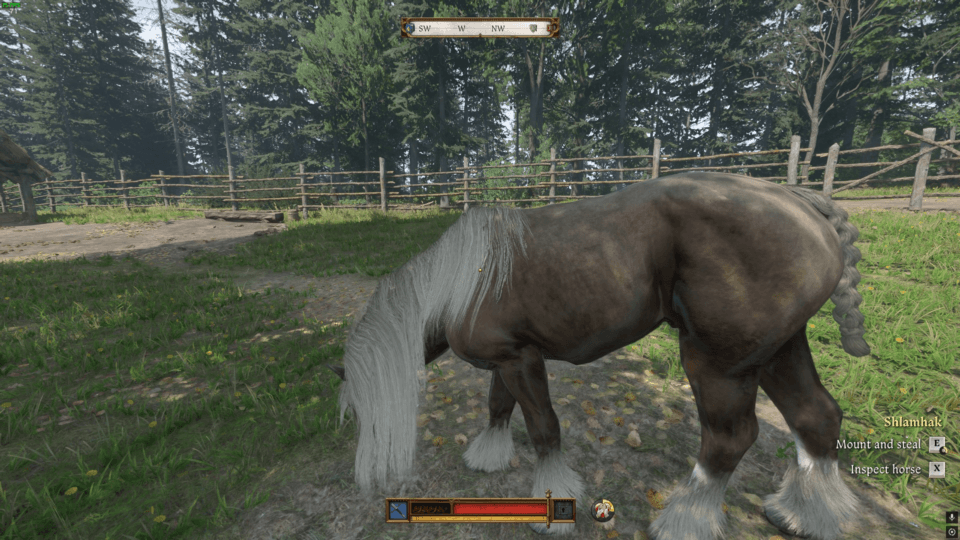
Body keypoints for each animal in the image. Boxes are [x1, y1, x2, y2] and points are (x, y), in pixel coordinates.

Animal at [327, 171, 869, 540]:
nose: (362, 480)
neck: (465, 279)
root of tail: (797, 198)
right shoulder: (508, 359)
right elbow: (499, 406)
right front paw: (488, 457)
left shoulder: (521, 361)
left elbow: (543, 427)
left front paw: (553, 507)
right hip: (778, 349)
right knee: (815, 416)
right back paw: (803, 515)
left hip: (721, 363)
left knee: (729, 439)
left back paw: (685, 520)